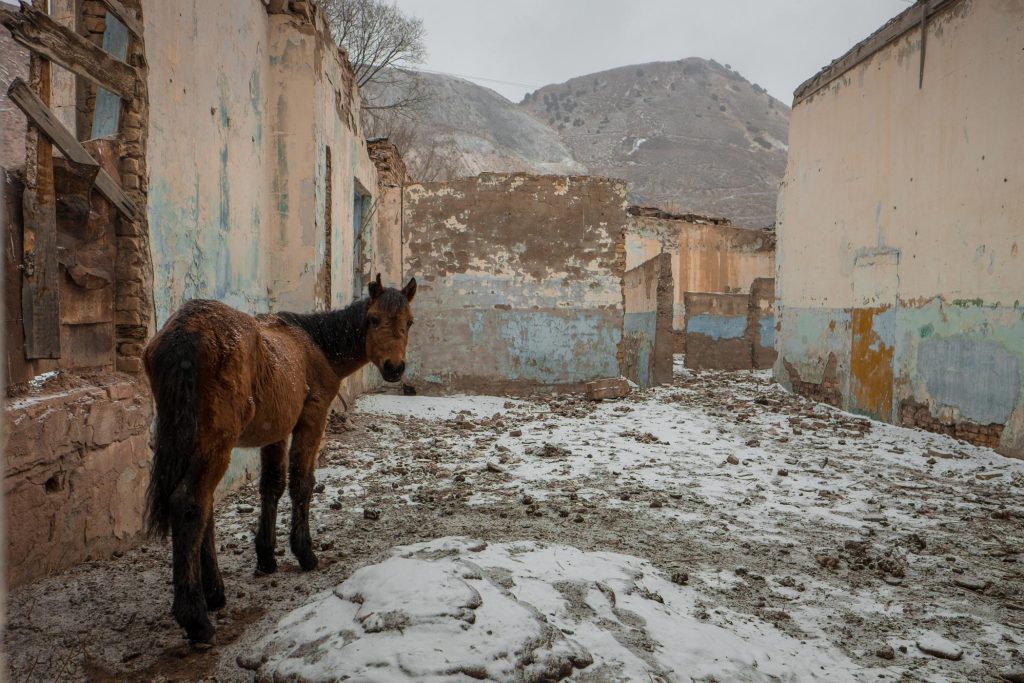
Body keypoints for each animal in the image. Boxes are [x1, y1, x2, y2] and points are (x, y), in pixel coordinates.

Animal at [142, 274, 417, 647]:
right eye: (373, 319)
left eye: (409, 322)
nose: (394, 368)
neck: (316, 345)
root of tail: (184, 334)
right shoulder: (311, 419)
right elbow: (302, 483)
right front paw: (304, 552)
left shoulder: (275, 432)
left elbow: (271, 486)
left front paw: (266, 555)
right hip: (216, 441)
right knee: (190, 504)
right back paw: (196, 618)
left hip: (190, 440)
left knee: (204, 507)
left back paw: (214, 593)